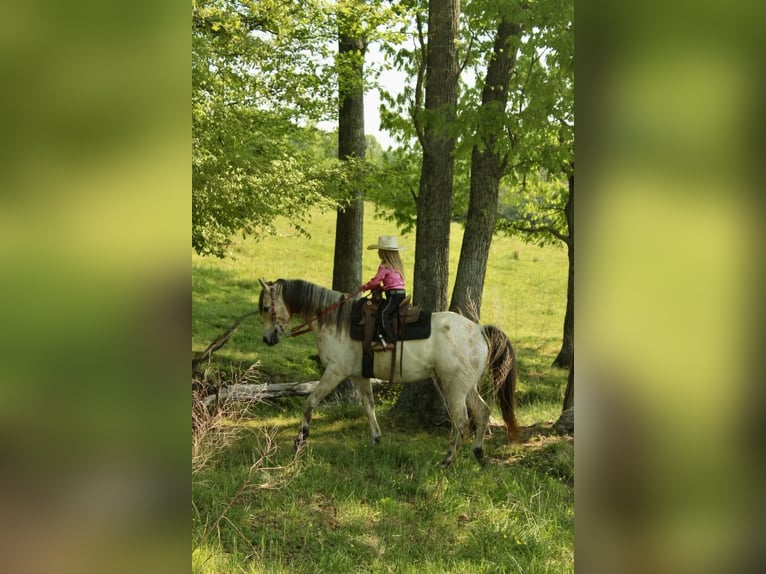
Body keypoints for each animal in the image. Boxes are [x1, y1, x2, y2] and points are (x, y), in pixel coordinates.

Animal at [260, 280, 520, 472]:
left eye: (265, 308)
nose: (266, 339)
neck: (336, 322)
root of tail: (478, 329)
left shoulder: (335, 372)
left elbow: (310, 401)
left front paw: (300, 440)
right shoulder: (360, 376)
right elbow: (369, 407)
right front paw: (376, 439)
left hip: (454, 387)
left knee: (462, 421)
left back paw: (447, 461)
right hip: (467, 387)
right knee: (483, 411)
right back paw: (478, 453)